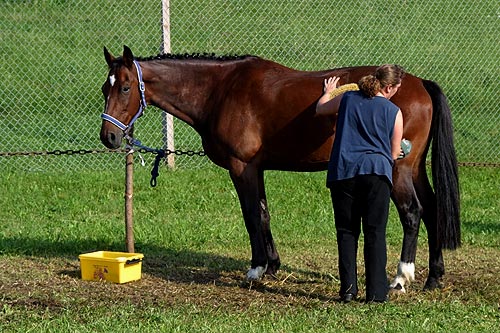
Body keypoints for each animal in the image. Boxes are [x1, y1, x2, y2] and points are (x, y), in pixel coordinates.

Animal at [99, 46, 458, 290]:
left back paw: (401, 276)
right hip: (414, 168)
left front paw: (256, 269)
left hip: (399, 170)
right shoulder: (256, 168)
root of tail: (419, 84)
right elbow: (263, 213)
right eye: (106, 88)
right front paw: (272, 266)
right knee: (433, 209)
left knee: (412, 212)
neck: (220, 90)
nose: (109, 137)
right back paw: (434, 277)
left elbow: (251, 215)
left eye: (126, 87)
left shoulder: (241, 167)